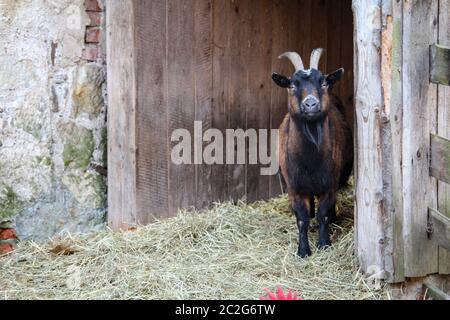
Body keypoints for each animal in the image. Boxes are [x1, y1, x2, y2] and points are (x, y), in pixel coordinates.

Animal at [272, 48, 354, 258]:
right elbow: (301, 219)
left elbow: (323, 215)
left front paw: (324, 244)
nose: (311, 104)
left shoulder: (329, 184)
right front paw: (303, 250)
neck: (310, 161)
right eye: (292, 85)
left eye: (323, 82)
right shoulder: (294, 187)